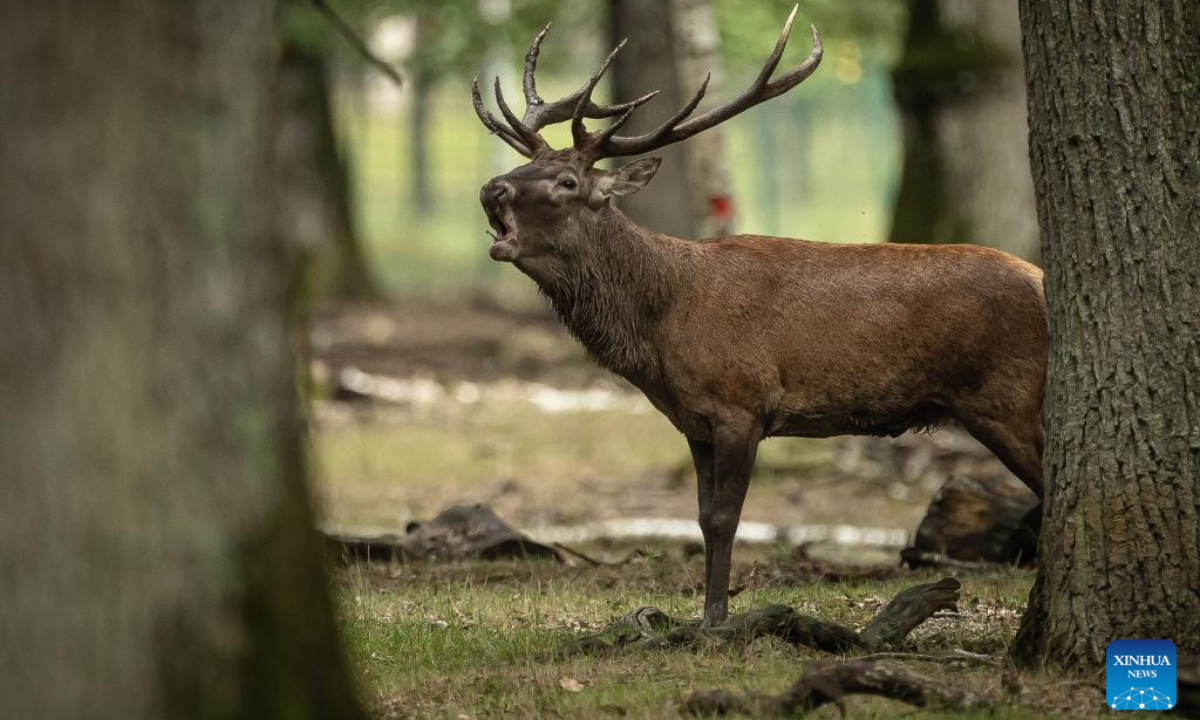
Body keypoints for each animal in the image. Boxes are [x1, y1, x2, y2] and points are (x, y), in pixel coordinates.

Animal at [472, 5, 1046, 626]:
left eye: (567, 181)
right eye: (525, 164)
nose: (491, 187)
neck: (661, 325)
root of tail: (1043, 279)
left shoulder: (741, 403)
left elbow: (726, 519)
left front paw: (716, 620)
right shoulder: (693, 420)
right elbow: (701, 519)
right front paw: (705, 613)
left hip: (1007, 398)